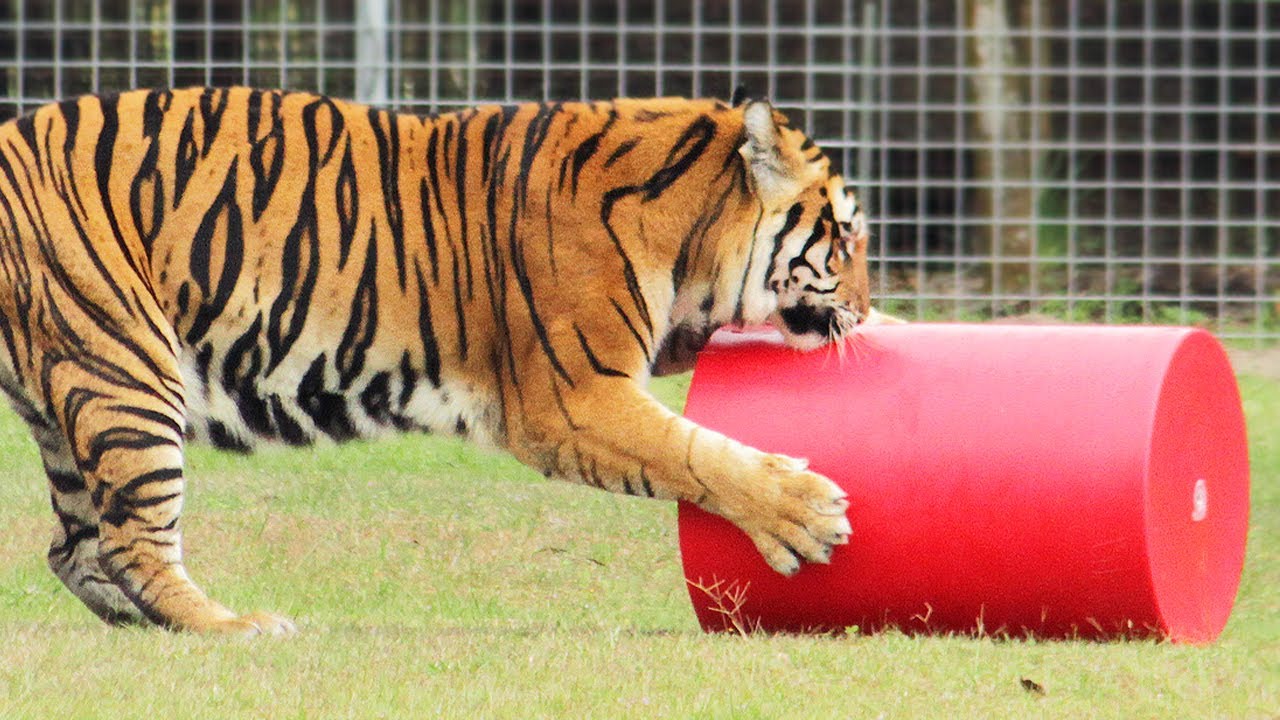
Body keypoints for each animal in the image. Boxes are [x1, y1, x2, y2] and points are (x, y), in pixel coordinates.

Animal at [0, 86, 881, 636]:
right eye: (844, 236)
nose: (871, 310)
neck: (691, 232)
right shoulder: (571, 398)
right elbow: (693, 452)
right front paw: (807, 516)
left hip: (75, 400)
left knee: (75, 548)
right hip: (127, 365)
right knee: (131, 542)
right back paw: (232, 625)